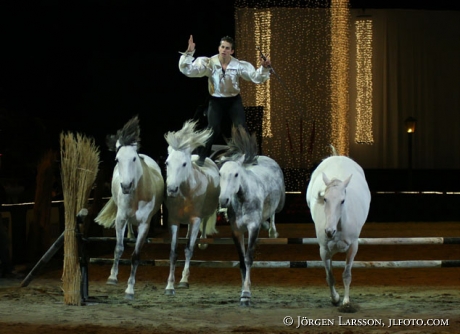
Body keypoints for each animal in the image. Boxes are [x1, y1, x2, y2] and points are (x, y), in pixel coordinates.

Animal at [94, 117, 164, 300]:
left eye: (134, 159)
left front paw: (130, 289)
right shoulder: (120, 218)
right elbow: (118, 248)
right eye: (117, 159)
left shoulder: (145, 224)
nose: (126, 186)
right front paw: (112, 277)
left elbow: (136, 256)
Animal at [163, 119, 220, 294]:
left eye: (184, 164)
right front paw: (169, 286)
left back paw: (202, 242)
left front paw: (183, 280)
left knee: (205, 222)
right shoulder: (173, 220)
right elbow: (173, 252)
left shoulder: (195, 219)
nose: (171, 189)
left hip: (205, 213)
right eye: (167, 162)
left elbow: (188, 249)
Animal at [218, 126, 284, 306]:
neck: (243, 199)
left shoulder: (252, 227)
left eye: (236, 174)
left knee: (273, 213)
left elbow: (248, 258)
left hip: (280, 203)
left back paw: (272, 230)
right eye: (220, 174)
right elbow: (241, 261)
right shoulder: (236, 230)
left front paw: (246, 294)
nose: (223, 200)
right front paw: (243, 289)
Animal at [306, 146, 370, 310]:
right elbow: (330, 276)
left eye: (342, 201)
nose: (329, 231)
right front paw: (335, 298)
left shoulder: (353, 247)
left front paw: (346, 302)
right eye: (325, 199)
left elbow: (347, 275)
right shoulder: (324, 250)